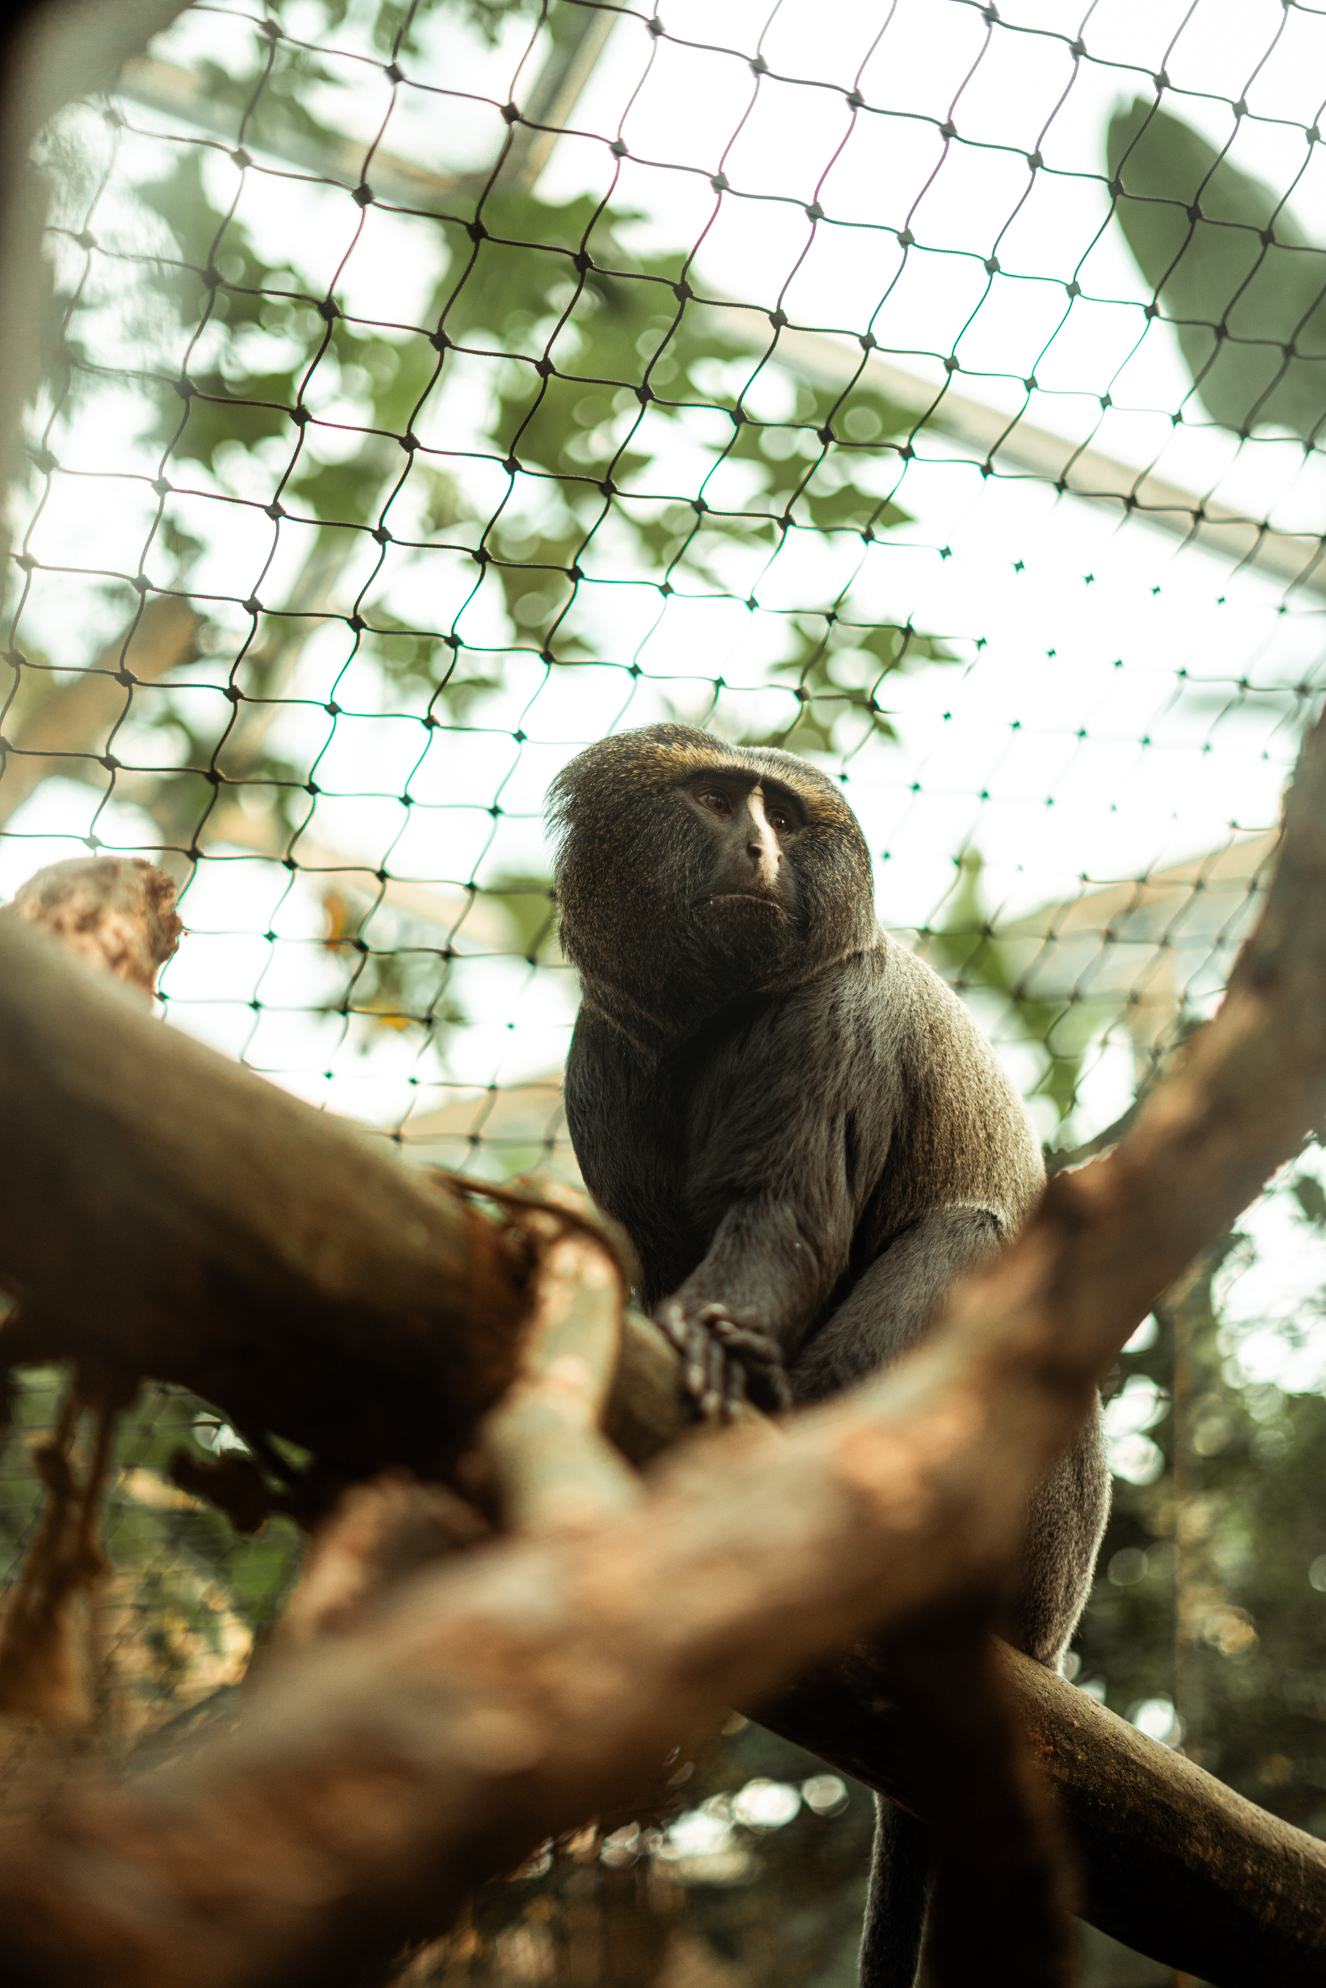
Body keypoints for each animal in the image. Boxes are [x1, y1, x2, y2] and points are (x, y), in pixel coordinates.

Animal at [547, 721, 1110, 1988]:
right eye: (720, 800)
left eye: (786, 815)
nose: (760, 849)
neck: (711, 1019)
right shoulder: (602, 1045)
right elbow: (658, 1251)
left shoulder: (834, 1014)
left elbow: (785, 1216)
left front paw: (716, 1344)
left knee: (974, 1239)